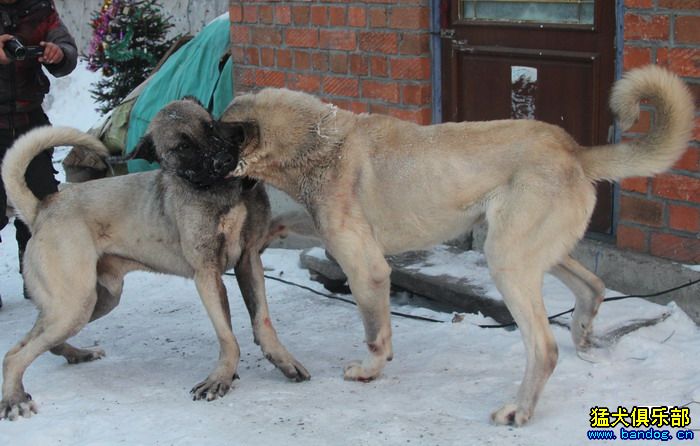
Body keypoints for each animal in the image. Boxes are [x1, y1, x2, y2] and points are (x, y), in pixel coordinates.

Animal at [1, 98, 308, 422]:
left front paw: (283, 361)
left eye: (211, 126)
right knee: (14, 355)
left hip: (94, 302)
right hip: (74, 305)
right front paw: (221, 378)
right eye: (182, 147)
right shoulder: (207, 275)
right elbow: (227, 336)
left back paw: (76, 354)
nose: (224, 160)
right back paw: (14, 399)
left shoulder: (248, 261)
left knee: (33, 342)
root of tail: (42, 208)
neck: (217, 190)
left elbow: (262, 321)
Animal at [223, 66, 696, 426]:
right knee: (593, 285)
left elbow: (375, 334)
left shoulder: (365, 267)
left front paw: (368, 372)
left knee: (544, 348)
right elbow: (289, 223)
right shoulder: (323, 228)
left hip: (506, 261)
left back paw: (518, 410)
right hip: (528, 250)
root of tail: (575, 151)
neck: (316, 142)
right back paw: (581, 332)